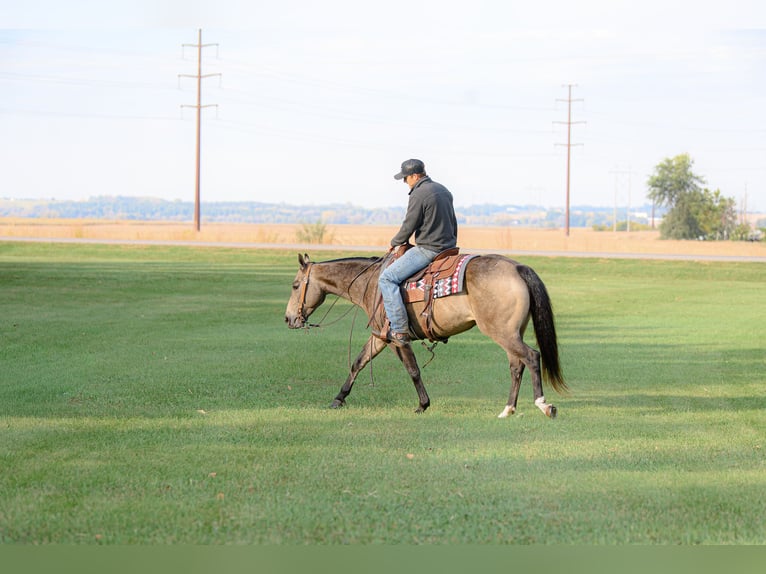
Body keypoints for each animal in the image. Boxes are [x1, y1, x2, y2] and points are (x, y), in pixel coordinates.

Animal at [284, 252, 567, 418]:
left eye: (295, 285)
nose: (288, 319)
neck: (372, 283)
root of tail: (518, 267)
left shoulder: (395, 337)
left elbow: (412, 370)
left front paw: (423, 404)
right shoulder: (380, 336)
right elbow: (358, 362)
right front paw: (338, 398)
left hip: (502, 333)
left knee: (531, 357)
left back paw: (543, 404)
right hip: (510, 333)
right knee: (516, 366)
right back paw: (508, 409)